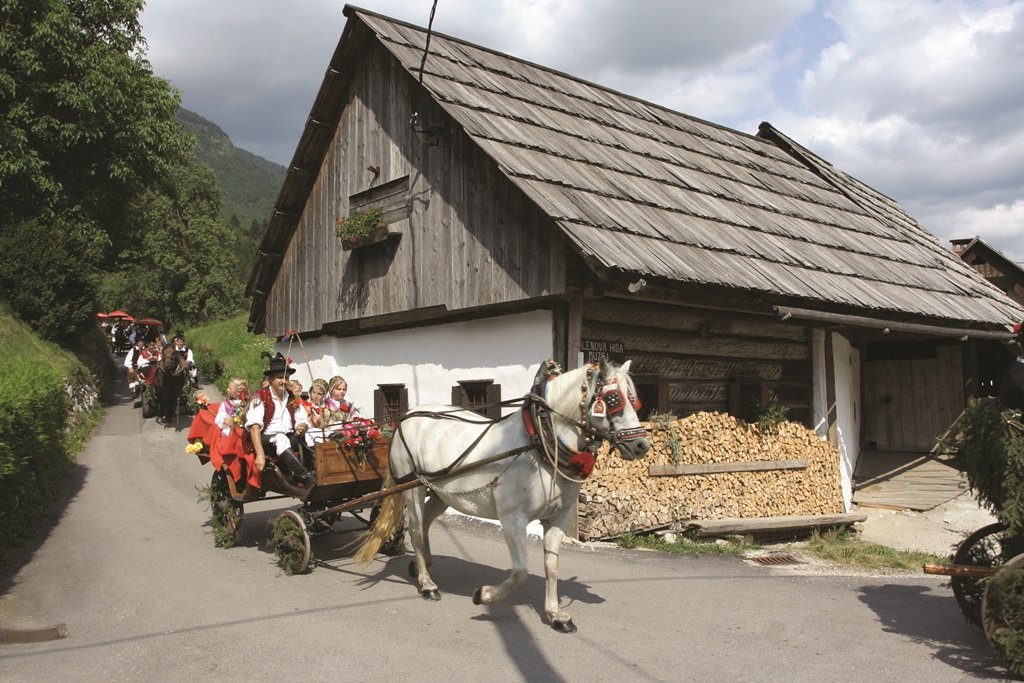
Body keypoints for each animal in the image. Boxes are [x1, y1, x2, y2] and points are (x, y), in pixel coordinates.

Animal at [356, 360, 651, 634]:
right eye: (613, 400)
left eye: (634, 399)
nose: (641, 445)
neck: (539, 442)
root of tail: (407, 416)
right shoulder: (512, 519)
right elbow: (520, 571)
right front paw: (484, 595)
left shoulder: (557, 518)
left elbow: (551, 565)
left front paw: (556, 615)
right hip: (412, 488)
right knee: (417, 530)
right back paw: (427, 584)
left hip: (442, 493)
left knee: (426, 524)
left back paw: (421, 566)